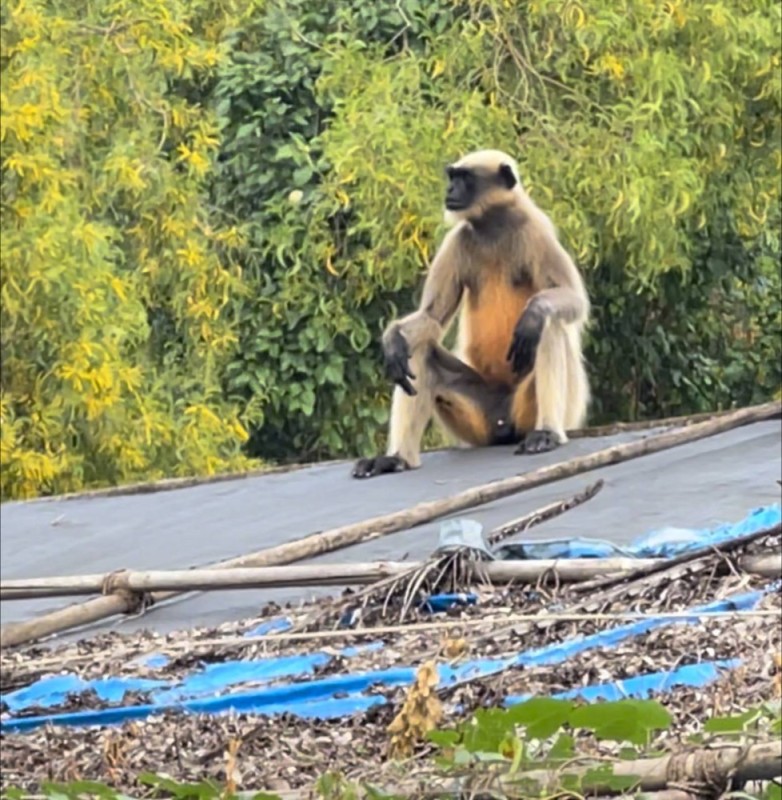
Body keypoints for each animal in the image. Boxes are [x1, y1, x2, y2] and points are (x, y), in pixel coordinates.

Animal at [352, 147, 592, 478]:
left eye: (464, 178)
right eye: (452, 177)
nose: (449, 191)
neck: (492, 224)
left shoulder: (537, 231)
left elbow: (574, 301)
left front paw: (534, 313)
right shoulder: (458, 239)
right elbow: (432, 317)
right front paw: (392, 338)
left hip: (541, 409)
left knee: (549, 327)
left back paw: (546, 432)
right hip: (480, 416)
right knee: (420, 349)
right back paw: (397, 458)